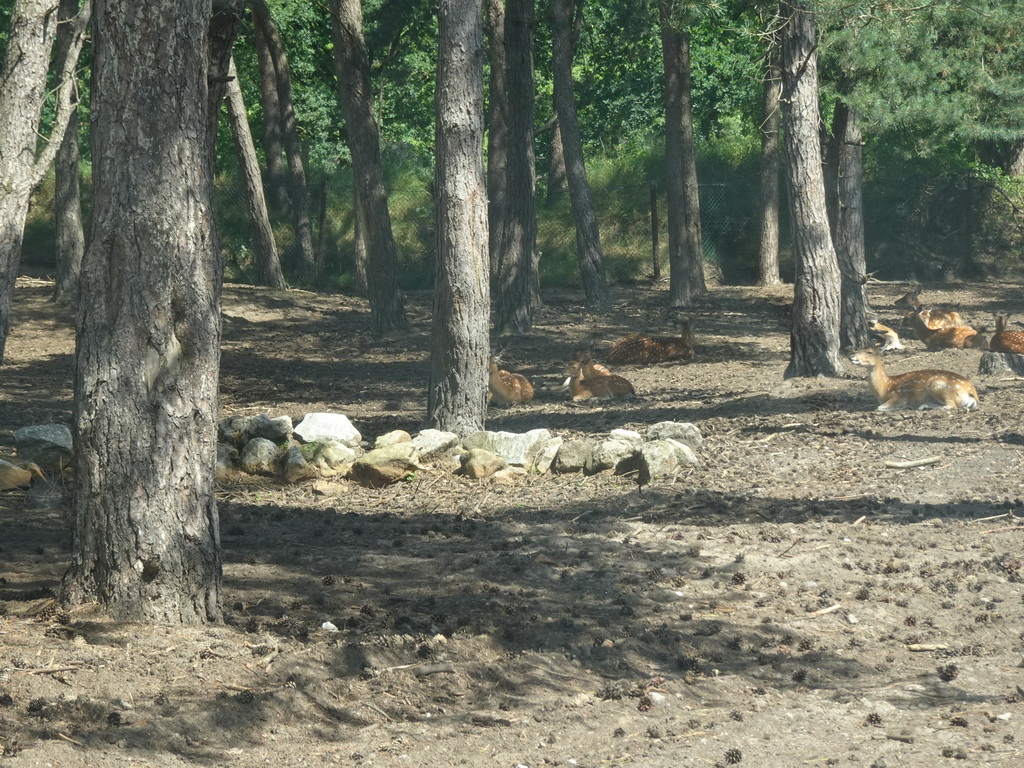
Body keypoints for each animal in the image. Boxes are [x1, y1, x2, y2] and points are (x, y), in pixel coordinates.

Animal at [843, 346, 978, 411]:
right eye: (860, 348)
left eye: (869, 352)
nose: (851, 356)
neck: (885, 388)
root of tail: (973, 394)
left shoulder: (898, 396)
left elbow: (879, 408)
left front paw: (904, 406)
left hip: (937, 385)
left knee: (951, 406)